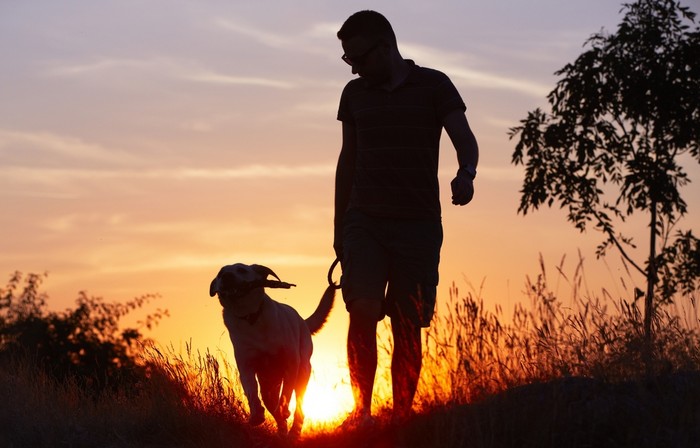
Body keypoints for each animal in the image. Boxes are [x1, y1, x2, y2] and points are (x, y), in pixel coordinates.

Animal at [209, 262, 334, 438]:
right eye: (220, 274)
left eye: (241, 270)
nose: (227, 276)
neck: (251, 317)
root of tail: (303, 320)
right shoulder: (246, 366)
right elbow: (251, 390)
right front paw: (256, 415)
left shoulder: (291, 364)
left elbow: (286, 393)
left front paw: (283, 409)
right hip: (268, 384)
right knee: (272, 406)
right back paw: (283, 433)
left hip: (303, 371)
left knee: (299, 407)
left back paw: (293, 431)